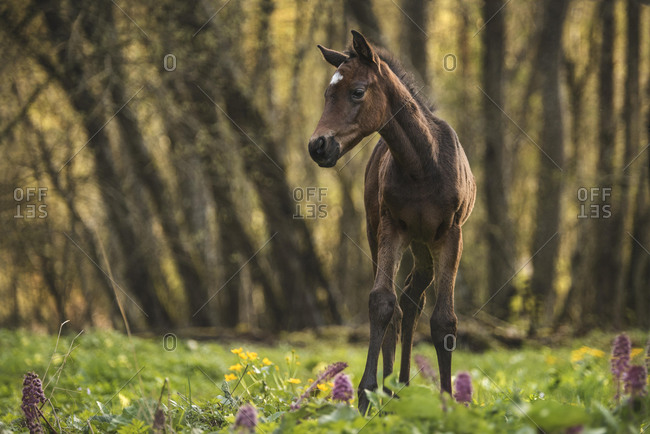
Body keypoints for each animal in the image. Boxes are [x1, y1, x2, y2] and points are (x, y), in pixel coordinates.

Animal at [307, 30, 476, 414]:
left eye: (357, 91)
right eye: (326, 94)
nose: (318, 145)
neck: (423, 164)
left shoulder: (451, 235)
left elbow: (444, 320)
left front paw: (447, 401)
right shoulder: (391, 228)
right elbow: (381, 302)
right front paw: (368, 393)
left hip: (426, 245)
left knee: (414, 299)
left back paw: (403, 385)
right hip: (385, 236)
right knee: (402, 305)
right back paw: (392, 388)